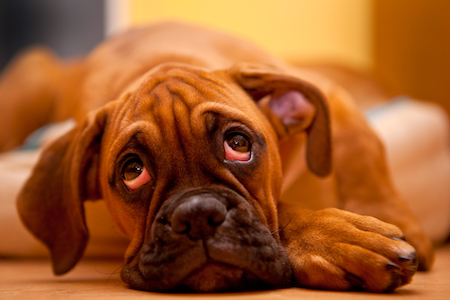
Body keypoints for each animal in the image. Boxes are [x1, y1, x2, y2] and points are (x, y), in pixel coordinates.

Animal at [0, 21, 436, 292]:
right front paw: (335, 237)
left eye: (238, 144)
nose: (196, 216)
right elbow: (282, 210)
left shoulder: (331, 96)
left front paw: (387, 217)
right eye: (133, 171)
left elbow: (363, 149)